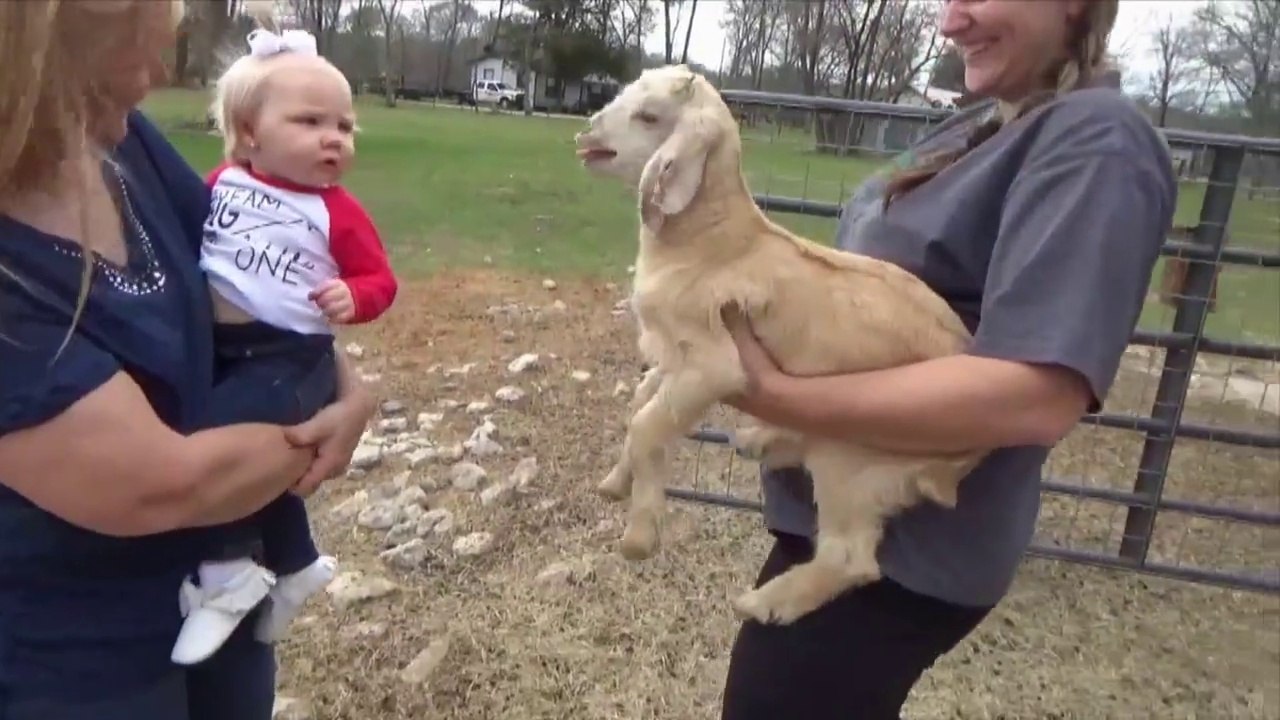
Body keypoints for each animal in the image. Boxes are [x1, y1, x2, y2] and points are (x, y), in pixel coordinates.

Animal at [573, 65, 987, 625]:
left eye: (650, 116)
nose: (587, 134)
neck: (715, 243)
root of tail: (969, 457)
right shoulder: (672, 356)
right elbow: (640, 408)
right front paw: (617, 483)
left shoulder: (714, 364)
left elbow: (647, 425)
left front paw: (639, 536)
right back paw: (760, 441)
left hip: (856, 460)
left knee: (852, 558)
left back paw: (763, 603)